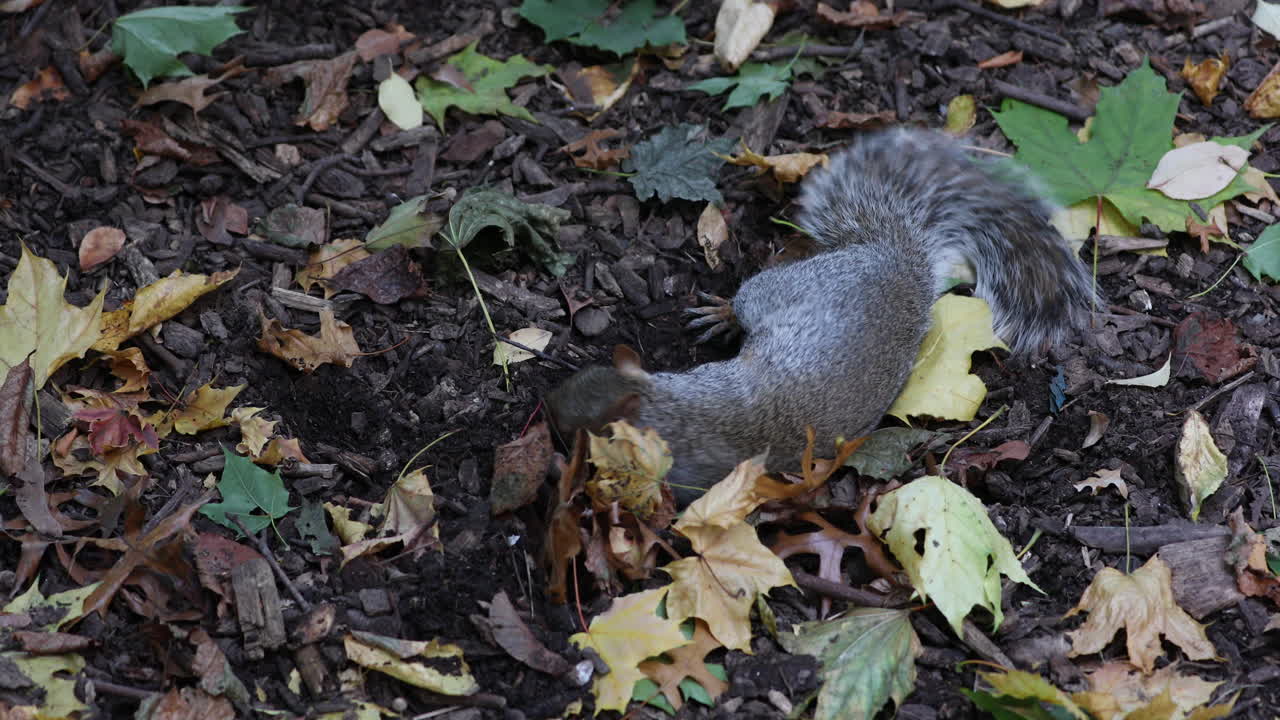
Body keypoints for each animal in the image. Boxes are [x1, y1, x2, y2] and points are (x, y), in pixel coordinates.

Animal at [546, 128, 1097, 505]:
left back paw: (724, 313)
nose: (549, 406)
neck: (670, 414)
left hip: (775, 289)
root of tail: (898, 263)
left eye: (583, 432)